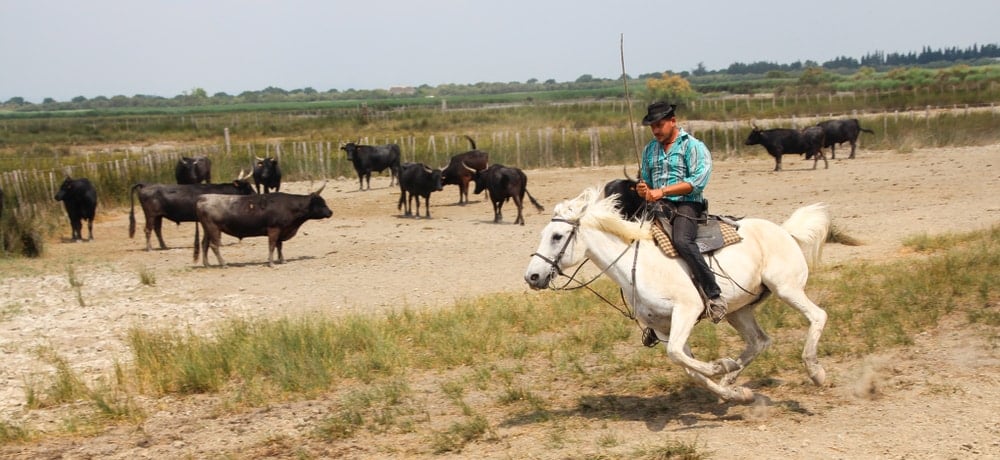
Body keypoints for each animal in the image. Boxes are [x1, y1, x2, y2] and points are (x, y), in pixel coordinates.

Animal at [194, 185, 332, 268]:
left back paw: (207, 264)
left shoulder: (281, 230)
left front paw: (282, 260)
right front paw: (271, 263)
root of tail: (203, 198)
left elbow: (279, 246)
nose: (331, 212)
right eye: (321, 203)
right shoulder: (274, 229)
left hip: (207, 229)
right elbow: (272, 246)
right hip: (214, 229)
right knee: (214, 245)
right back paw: (223, 264)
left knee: (205, 244)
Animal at [524, 187, 828, 402]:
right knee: (759, 341)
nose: (532, 276)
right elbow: (687, 365)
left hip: (786, 288)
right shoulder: (662, 327)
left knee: (818, 316)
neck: (638, 265)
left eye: (557, 236)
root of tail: (785, 231)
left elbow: (676, 354)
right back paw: (731, 380)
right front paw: (733, 390)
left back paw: (816, 373)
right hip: (738, 310)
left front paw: (720, 367)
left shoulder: (686, 310)